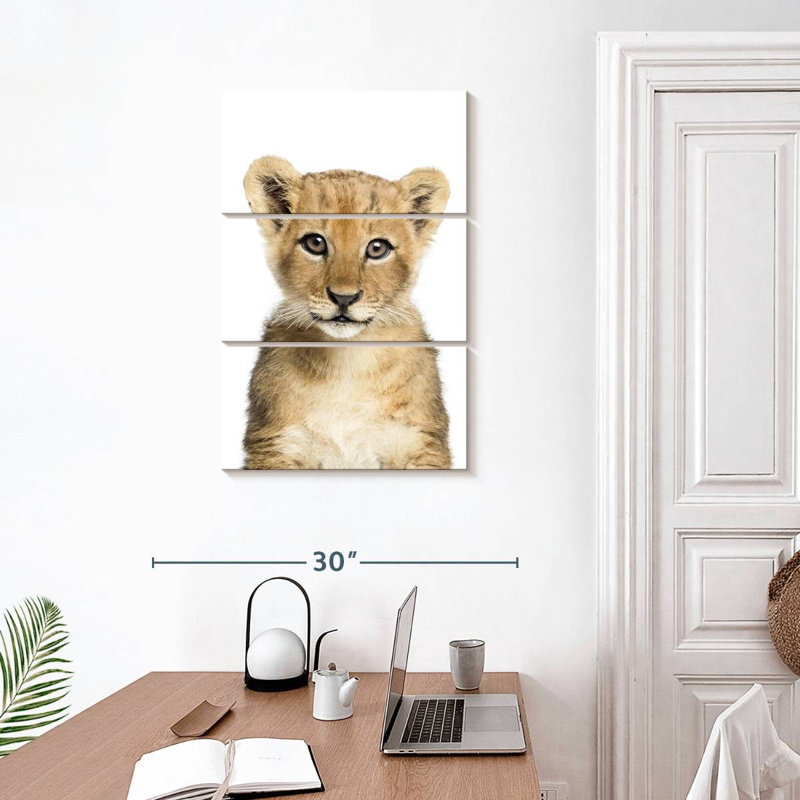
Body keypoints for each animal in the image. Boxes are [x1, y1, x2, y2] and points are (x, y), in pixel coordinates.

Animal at [240, 156, 452, 469]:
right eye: (315, 243)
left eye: (377, 248)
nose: (344, 297)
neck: (348, 362)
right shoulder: (276, 444)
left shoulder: (420, 443)